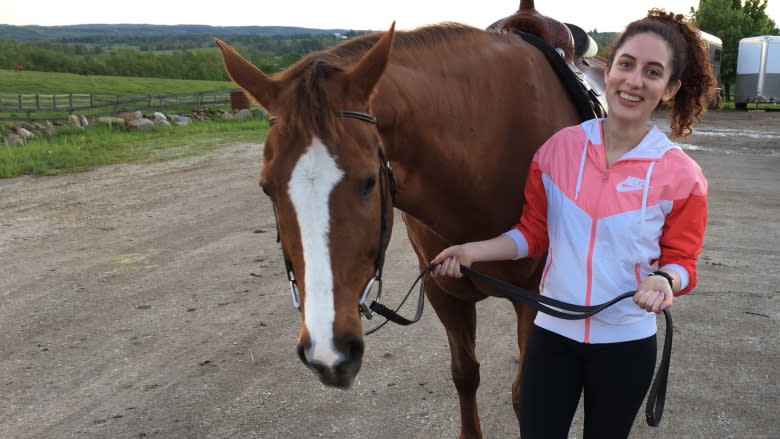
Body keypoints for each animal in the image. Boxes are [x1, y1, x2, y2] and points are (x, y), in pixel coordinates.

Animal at [218, 18, 584, 438]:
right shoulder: (443, 290)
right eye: (267, 187)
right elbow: (465, 375)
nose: (328, 351)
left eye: (368, 182)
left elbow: (525, 393)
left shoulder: (535, 297)